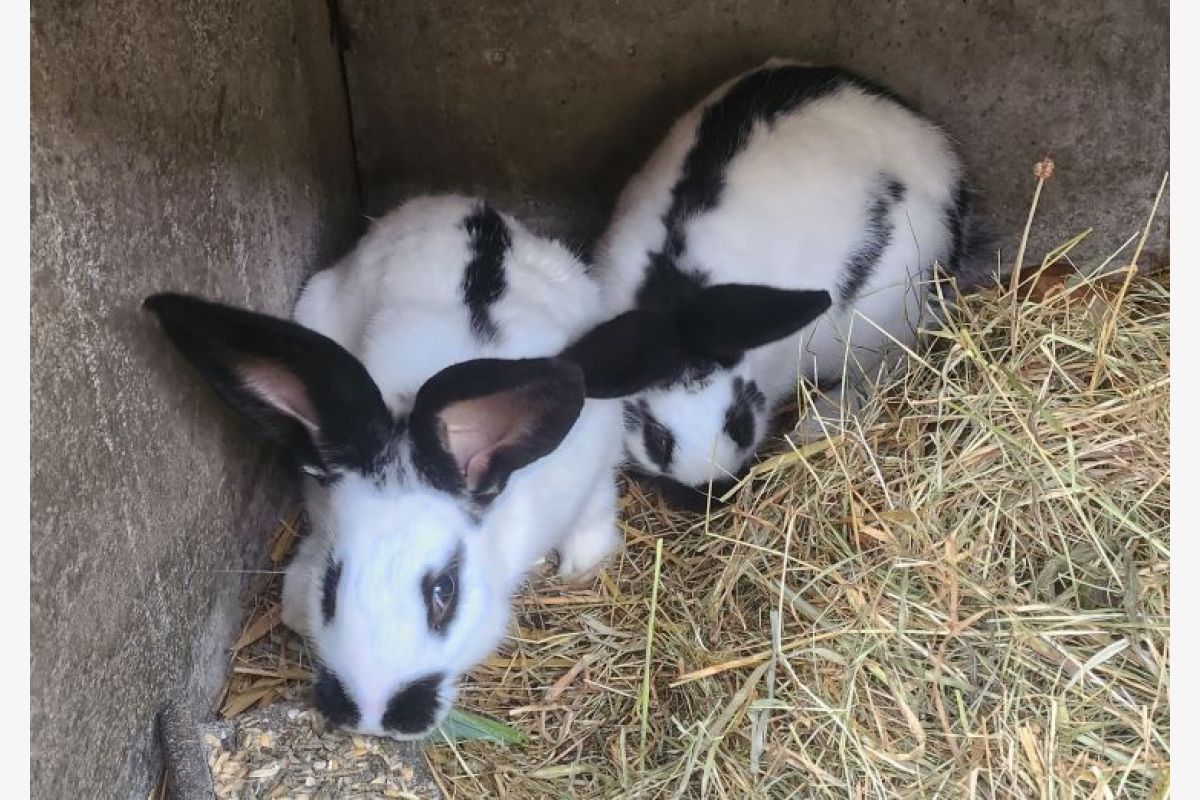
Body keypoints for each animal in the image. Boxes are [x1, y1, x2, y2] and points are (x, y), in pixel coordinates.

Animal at [146, 191, 662, 738]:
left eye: (444, 593)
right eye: (330, 588)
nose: (374, 717)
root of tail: (458, 204)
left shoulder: (594, 456)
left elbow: (596, 507)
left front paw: (583, 567)